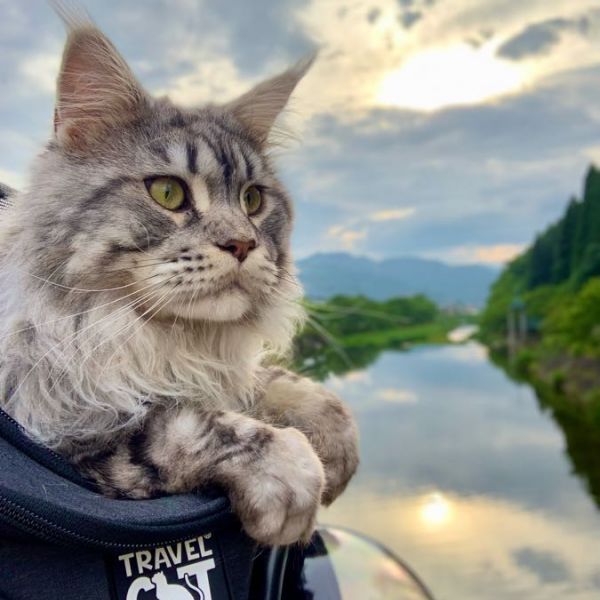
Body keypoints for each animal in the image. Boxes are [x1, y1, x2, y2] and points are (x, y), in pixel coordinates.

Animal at [0, 6, 358, 547]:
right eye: (167, 193)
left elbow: (291, 387)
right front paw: (294, 474)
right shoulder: (70, 431)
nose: (242, 244)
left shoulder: (219, 370)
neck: (167, 341)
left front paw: (336, 449)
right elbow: (192, 424)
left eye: (253, 200)